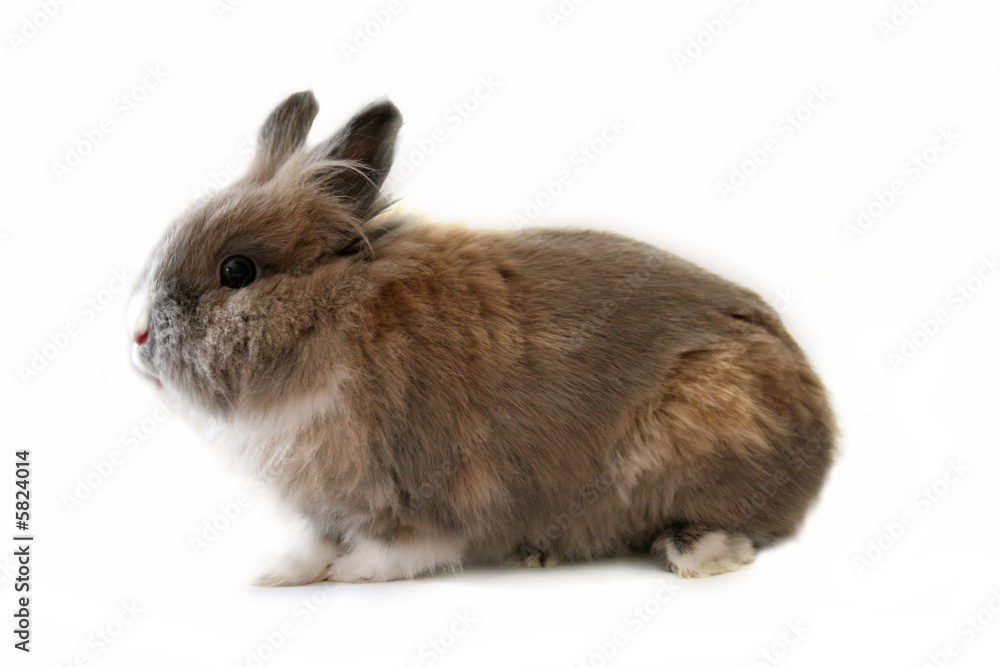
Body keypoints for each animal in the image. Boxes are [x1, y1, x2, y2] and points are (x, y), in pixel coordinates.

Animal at [128, 90, 836, 584]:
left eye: (236, 271)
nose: (136, 335)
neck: (337, 320)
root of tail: (822, 440)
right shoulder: (328, 504)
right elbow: (318, 541)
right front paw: (281, 573)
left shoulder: (418, 485)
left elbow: (404, 546)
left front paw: (356, 572)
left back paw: (697, 552)